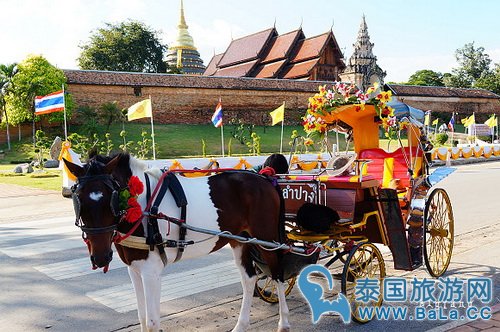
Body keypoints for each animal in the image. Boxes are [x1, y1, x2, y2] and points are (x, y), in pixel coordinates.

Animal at [62, 153, 292, 332]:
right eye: (78, 198)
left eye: (112, 197)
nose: (101, 257)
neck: (143, 207)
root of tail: (265, 178)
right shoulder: (134, 269)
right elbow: (142, 318)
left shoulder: (151, 271)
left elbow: (152, 322)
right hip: (240, 240)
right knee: (249, 278)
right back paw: (241, 325)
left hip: (267, 240)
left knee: (277, 274)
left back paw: (284, 322)